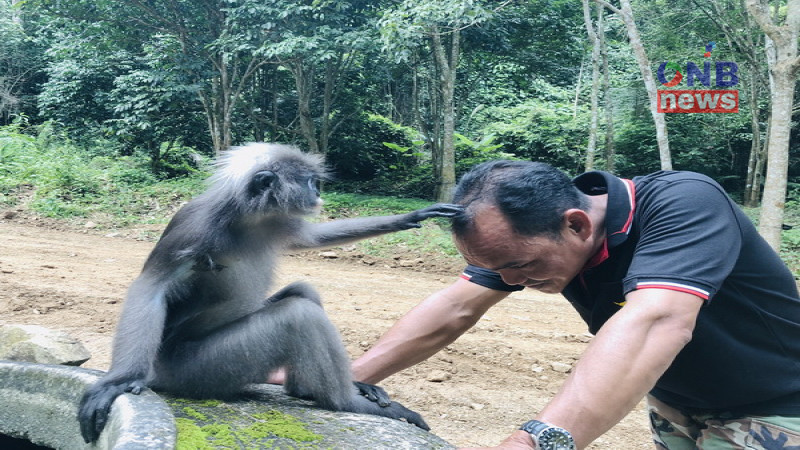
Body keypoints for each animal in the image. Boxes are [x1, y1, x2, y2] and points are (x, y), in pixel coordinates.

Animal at [79, 143, 462, 442]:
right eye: (309, 182)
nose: (318, 194)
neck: (248, 221)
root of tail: (160, 371)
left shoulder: (279, 220)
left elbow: (311, 237)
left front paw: (413, 216)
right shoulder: (193, 226)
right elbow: (152, 288)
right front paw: (120, 381)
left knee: (303, 294)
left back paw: (314, 389)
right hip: (199, 369)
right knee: (299, 316)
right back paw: (345, 402)